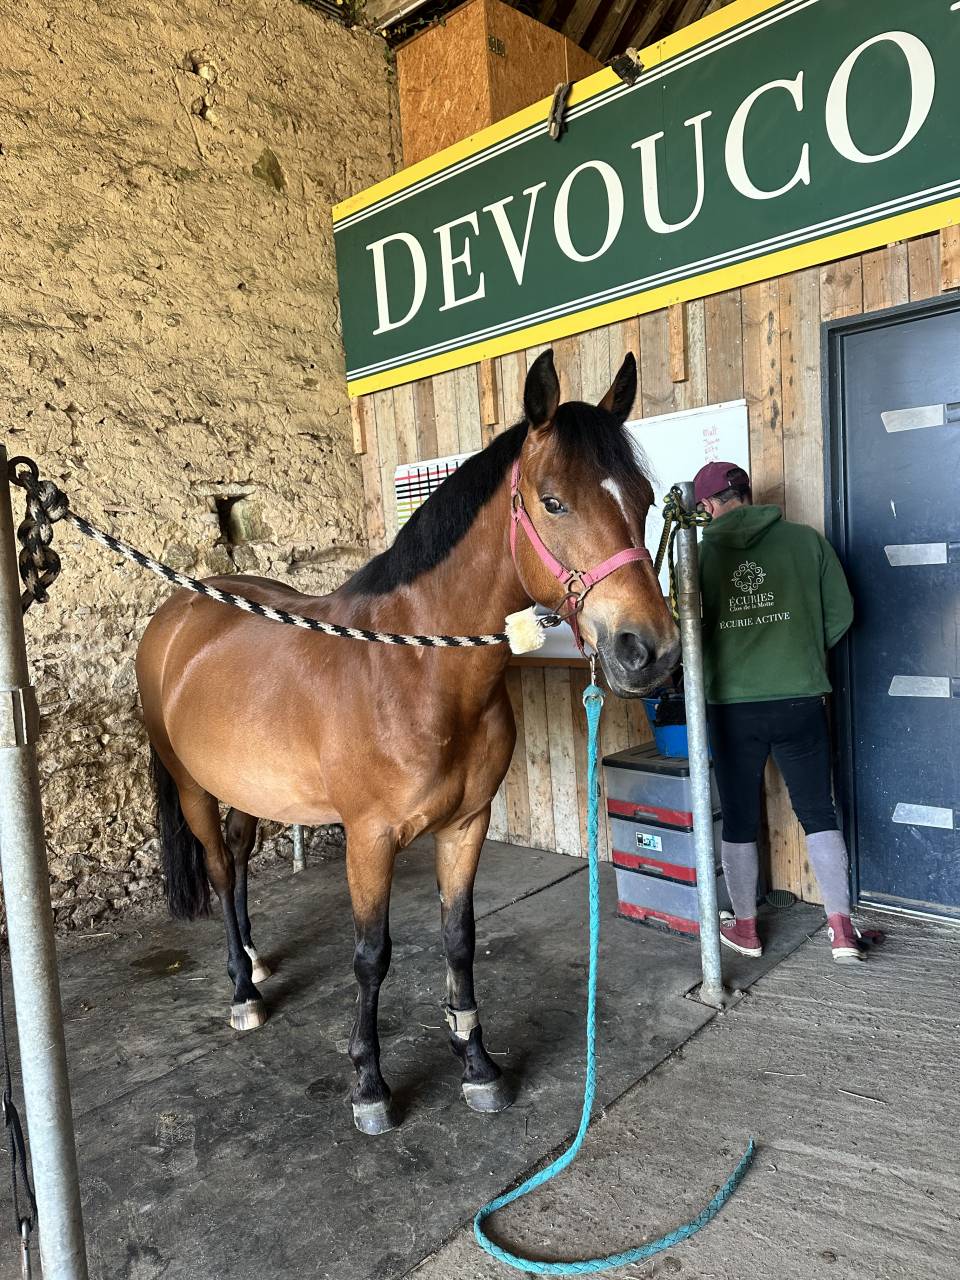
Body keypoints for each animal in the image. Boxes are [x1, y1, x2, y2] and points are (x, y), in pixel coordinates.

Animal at [135, 349, 680, 1134]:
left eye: (642, 497)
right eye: (553, 502)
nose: (650, 651)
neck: (414, 669)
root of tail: (178, 610)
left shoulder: (465, 825)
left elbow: (459, 938)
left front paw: (477, 1063)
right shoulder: (369, 839)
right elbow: (371, 955)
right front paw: (370, 1085)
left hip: (248, 788)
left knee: (236, 862)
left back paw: (257, 962)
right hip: (192, 788)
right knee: (216, 864)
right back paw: (241, 990)